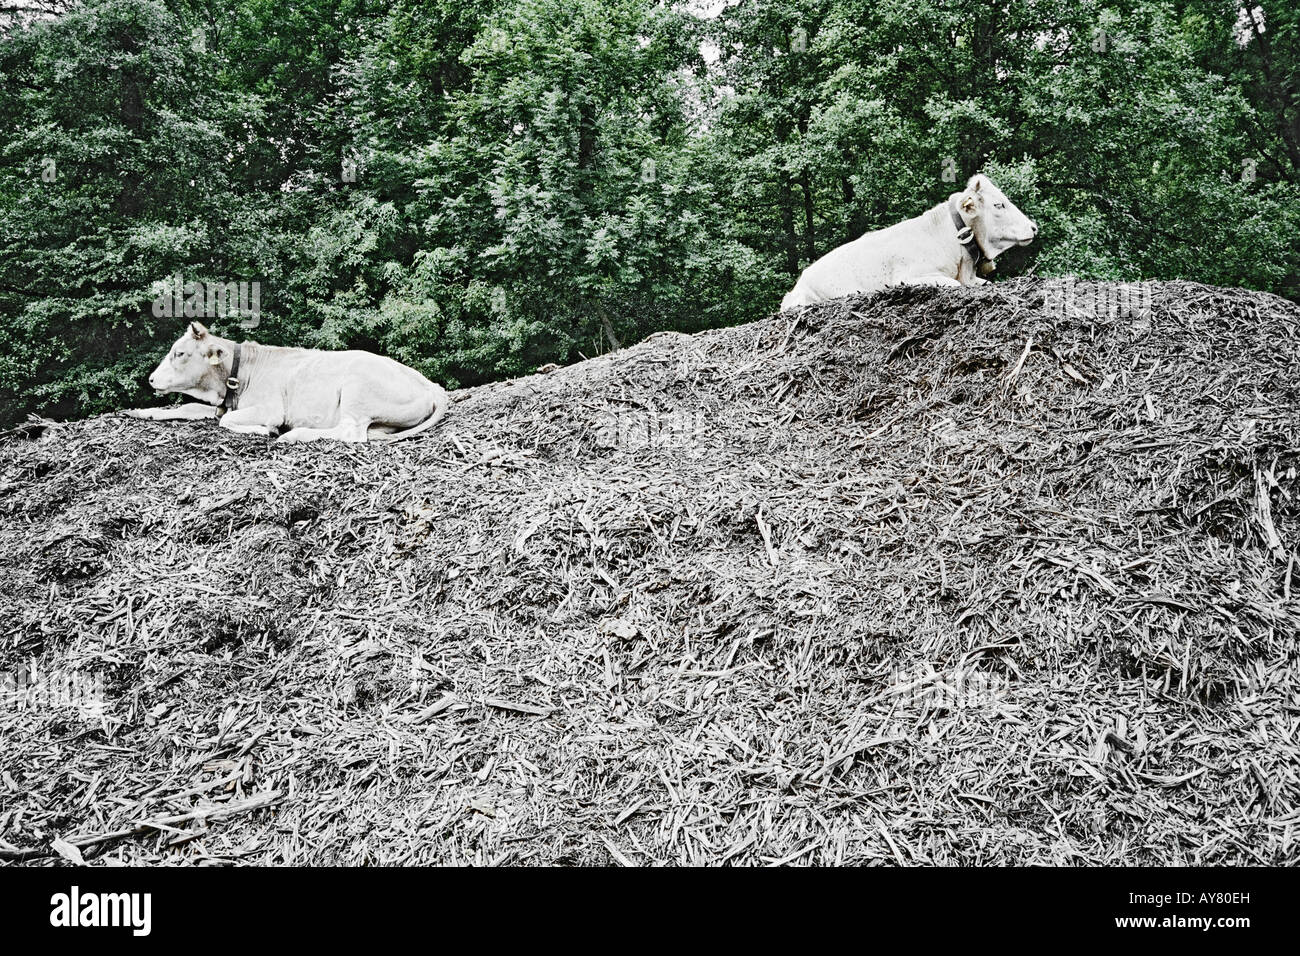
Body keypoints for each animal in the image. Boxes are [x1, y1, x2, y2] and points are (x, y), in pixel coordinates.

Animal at [125, 321, 452, 442]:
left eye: (179, 353)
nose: (151, 379)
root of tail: (433, 386)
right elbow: (186, 410)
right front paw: (138, 411)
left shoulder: (270, 408)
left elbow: (226, 422)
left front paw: (264, 430)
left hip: (356, 390)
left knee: (350, 433)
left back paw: (293, 435)